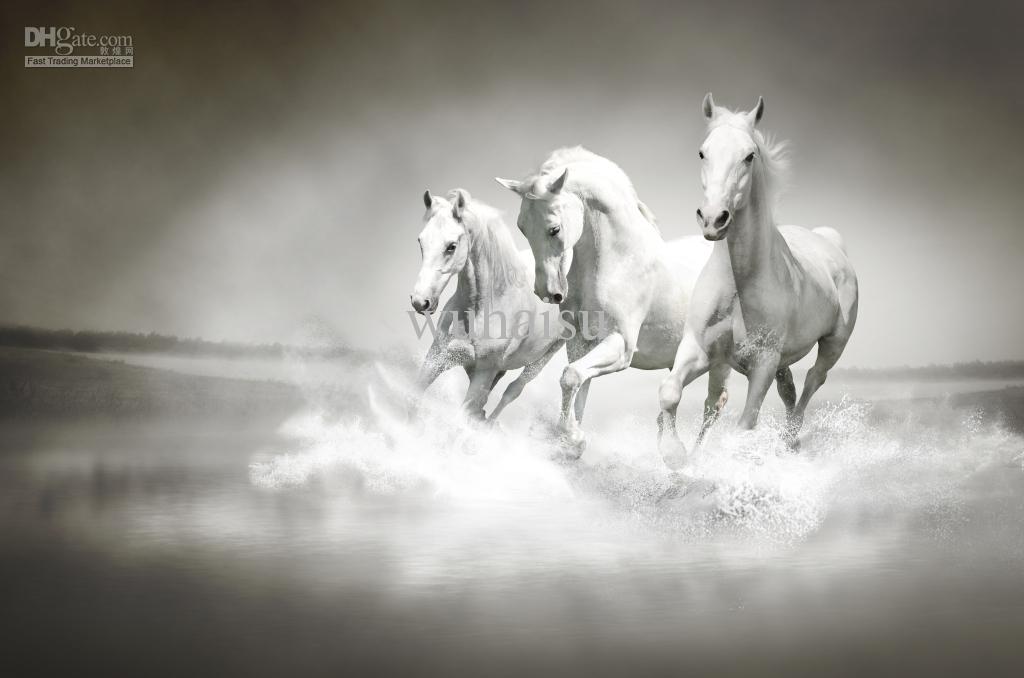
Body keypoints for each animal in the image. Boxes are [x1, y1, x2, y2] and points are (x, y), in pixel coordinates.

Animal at [409, 188, 564, 421]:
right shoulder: (437, 357)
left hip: (543, 357)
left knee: (513, 391)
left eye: (451, 246)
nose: (420, 301)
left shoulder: (483, 373)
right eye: (421, 241)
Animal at [496, 147, 727, 455]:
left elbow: (570, 377)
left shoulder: (621, 345)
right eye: (522, 228)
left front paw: (574, 438)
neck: (619, 261)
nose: (547, 292)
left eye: (554, 229)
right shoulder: (581, 342)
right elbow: (577, 386)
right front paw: (571, 441)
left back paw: (690, 459)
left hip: (721, 361)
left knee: (714, 404)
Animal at [657, 94, 859, 470]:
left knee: (814, 379)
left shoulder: (762, 363)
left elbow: (745, 424)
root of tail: (831, 243)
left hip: (833, 343)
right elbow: (670, 392)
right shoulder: (700, 349)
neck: (739, 284)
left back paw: (790, 439)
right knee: (788, 388)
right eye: (702, 152)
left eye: (749, 156)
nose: (713, 219)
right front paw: (675, 455)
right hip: (781, 361)